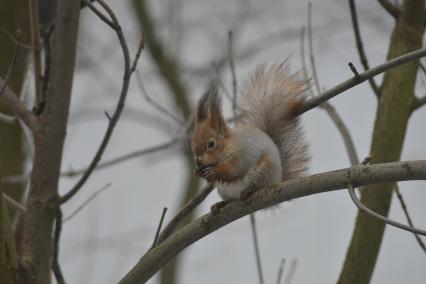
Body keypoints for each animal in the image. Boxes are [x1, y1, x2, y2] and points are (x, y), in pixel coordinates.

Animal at [191, 61, 308, 213]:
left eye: (211, 144)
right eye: (192, 144)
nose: (198, 161)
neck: (229, 145)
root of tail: (278, 180)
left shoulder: (243, 155)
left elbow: (234, 171)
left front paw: (213, 172)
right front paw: (197, 171)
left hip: (264, 171)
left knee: (255, 185)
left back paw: (248, 191)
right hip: (224, 190)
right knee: (230, 199)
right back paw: (220, 204)